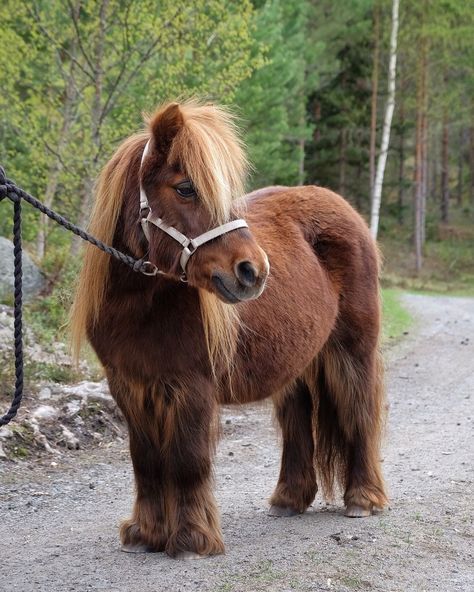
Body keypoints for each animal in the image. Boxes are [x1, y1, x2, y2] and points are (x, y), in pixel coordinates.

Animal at [71, 100, 388, 560]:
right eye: (185, 188)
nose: (253, 271)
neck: (142, 306)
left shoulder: (191, 388)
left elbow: (187, 460)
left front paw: (190, 539)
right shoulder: (129, 387)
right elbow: (145, 461)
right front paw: (146, 533)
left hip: (353, 351)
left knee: (358, 411)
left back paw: (363, 499)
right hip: (295, 361)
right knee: (297, 419)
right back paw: (288, 499)